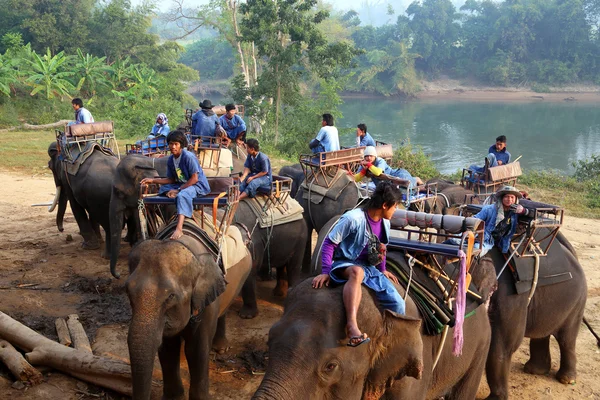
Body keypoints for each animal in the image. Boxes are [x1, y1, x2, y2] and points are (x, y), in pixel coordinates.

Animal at [127, 233, 253, 398]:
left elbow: (196, 350)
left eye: (170, 296)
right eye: (127, 292)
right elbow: (168, 348)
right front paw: (174, 398)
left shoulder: (207, 303)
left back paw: (220, 349)